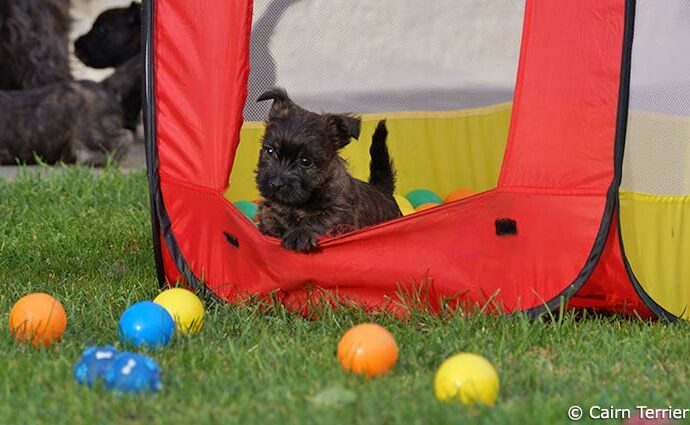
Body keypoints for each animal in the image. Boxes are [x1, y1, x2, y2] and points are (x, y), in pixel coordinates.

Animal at [255, 87, 400, 250]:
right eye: (270, 151)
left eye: (305, 161)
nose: (275, 184)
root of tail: (383, 190)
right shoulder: (270, 207)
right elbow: (269, 217)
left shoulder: (339, 213)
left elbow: (319, 220)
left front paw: (300, 233)